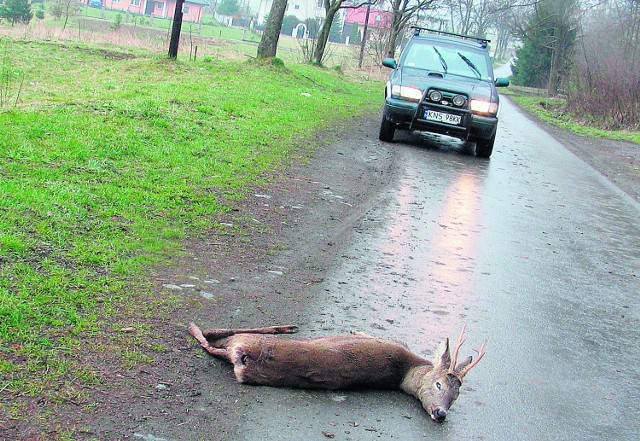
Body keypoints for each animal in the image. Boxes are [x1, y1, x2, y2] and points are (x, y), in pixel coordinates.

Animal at [189, 322, 484, 422]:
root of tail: (245, 359)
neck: (403, 372)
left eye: (455, 397)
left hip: (244, 340)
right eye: (439, 385)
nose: (441, 413)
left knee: (214, 335)